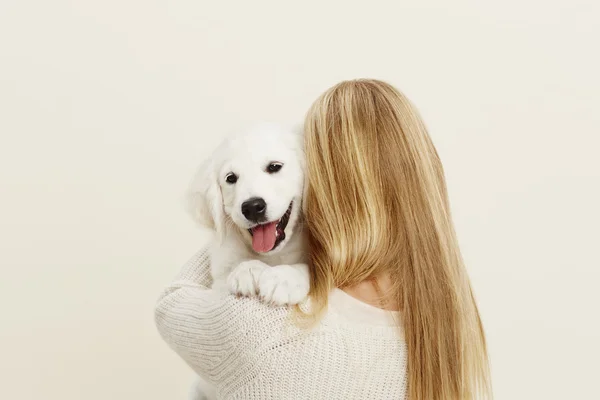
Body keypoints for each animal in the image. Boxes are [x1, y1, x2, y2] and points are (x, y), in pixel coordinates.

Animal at [186, 123, 310, 398]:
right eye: (231, 178)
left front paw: (283, 279)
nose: (252, 207)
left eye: (274, 167)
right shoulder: (219, 278)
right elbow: (233, 271)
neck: (273, 255)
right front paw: (248, 272)